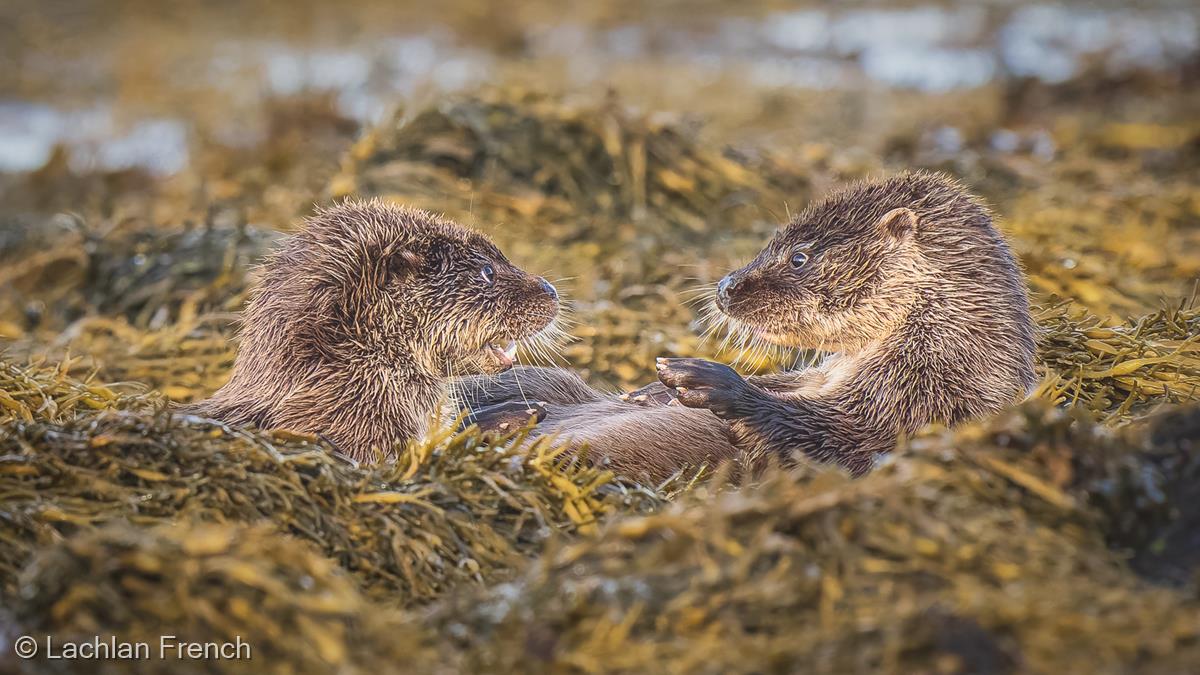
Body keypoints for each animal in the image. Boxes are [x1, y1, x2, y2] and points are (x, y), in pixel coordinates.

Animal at [457, 172, 1036, 481]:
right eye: (771, 241)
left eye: (799, 257)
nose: (726, 286)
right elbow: (782, 384)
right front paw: (650, 390)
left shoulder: (918, 406)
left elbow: (823, 438)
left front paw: (712, 381)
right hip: (547, 379)